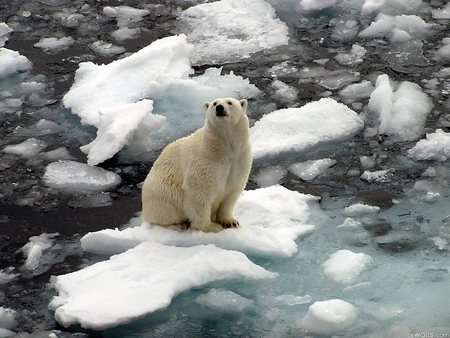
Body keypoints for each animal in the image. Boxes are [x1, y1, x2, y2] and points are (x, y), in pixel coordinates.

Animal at [142, 97, 251, 232]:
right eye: (214, 103)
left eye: (229, 102)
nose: (219, 108)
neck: (224, 150)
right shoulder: (205, 161)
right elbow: (199, 193)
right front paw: (211, 226)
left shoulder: (239, 160)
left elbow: (231, 192)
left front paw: (231, 222)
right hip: (161, 192)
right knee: (165, 211)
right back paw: (178, 224)